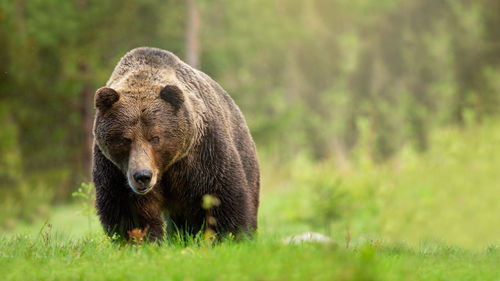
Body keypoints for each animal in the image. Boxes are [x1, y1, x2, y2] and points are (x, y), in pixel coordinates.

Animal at [91, 47, 260, 240]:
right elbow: (129, 212)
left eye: (155, 138)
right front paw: (140, 240)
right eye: (126, 139)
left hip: (243, 151)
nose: (143, 176)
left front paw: (231, 235)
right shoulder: (115, 171)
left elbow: (221, 197)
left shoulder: (202, 155)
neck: (165, 167)